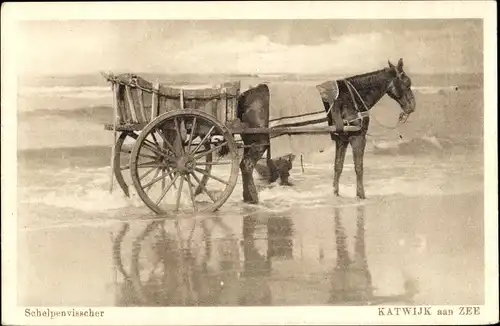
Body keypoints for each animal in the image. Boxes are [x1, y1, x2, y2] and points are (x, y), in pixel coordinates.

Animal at [236, 58, 416, 201]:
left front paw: (336, 193)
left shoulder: (342, 139)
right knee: (247, 166)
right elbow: (359, 168)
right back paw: (254, 198)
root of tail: (245, 96)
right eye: (407, 83)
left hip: (251, 142)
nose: (411, 107)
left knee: (243, 166)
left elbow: (338, 167)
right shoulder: (358, 137)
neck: (352, 98)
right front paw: (361, 195)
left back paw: (247, 197)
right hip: (259, 142)